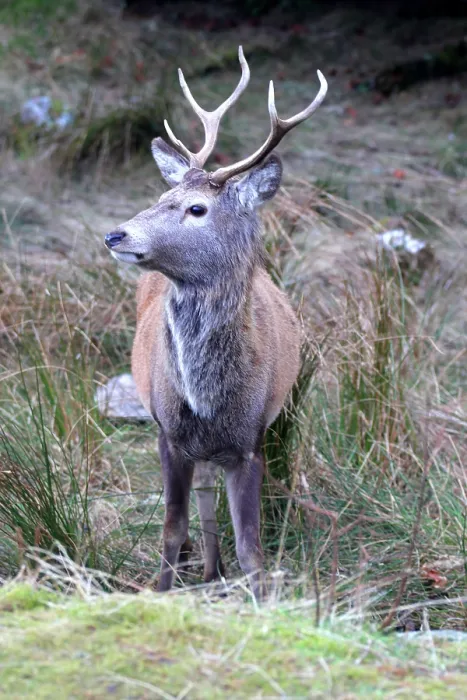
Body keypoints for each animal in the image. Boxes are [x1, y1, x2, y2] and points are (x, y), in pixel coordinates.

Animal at [104, 47, 327, 600]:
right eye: (160, 199)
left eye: (196, 208)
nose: (116, 234)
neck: (211, 401)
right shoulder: (167, 432)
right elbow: (170, 528)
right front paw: (162, 591)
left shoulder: (251, 441)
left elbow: (253, 549)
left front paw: (262, 601)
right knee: (201, 498)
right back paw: (203, 569)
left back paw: (212, 570)